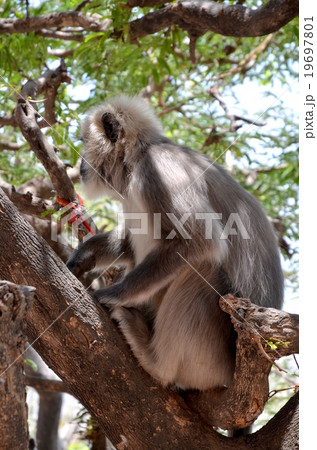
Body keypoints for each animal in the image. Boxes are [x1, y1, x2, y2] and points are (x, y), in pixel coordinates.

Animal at [66, 95, 284, 390]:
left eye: (83, 142)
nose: (80, 165)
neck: (136, 159)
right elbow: (129, 243)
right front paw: (85, 254)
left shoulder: (159, 170)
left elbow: (199, 241)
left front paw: (112, 294)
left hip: (212, 355)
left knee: (205, 267)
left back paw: (156, 361)